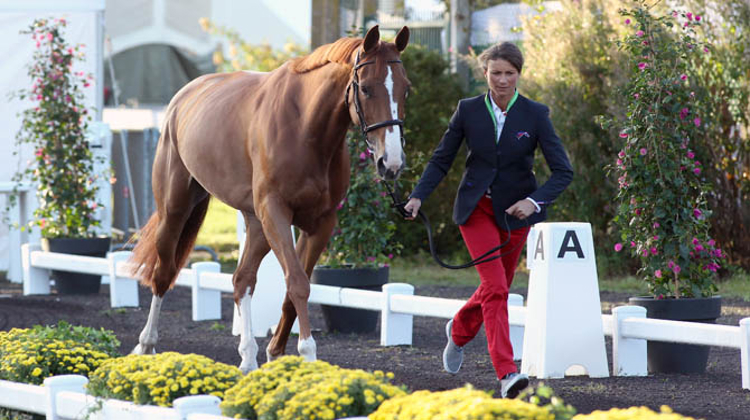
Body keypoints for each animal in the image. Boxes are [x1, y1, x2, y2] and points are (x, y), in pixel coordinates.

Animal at [128, 26, 412, 372]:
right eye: (367, 88)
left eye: (406, 90)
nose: (392, 163)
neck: (305, 128)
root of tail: (183, 97)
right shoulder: (276, 213)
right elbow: (298, 282)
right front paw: (308, 354)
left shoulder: (319, 223)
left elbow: (294, 288)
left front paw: (276, 354)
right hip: (176, 211)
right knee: (164, 273)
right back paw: (146, 345)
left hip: (256, 224)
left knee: (242, 280)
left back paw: (248, 358)